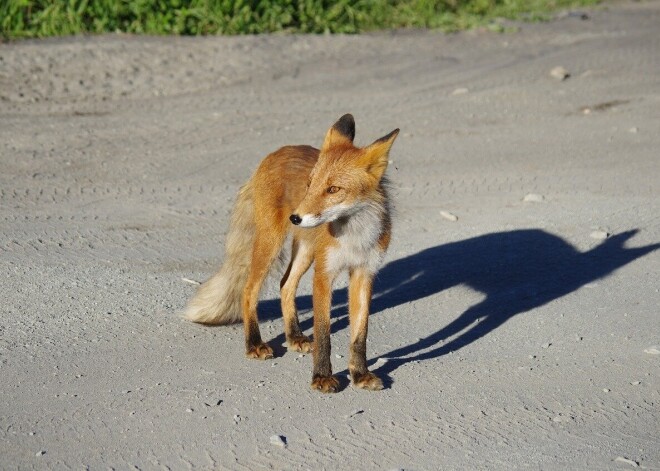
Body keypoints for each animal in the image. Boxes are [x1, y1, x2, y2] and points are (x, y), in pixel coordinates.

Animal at [188, 115, 400, 394]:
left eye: (333, 189)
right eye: (310, 184)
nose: (296, 217)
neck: (354, 236)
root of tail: (277, 151)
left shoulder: (364, 273)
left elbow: (359, 334)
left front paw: (360, 375)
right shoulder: (324, 274)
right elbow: (323, 334)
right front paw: (321, 377)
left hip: (305, 250)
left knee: (285, 284)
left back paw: (293, 336)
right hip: (271, 243)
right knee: (249, 290)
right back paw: (254, 343)